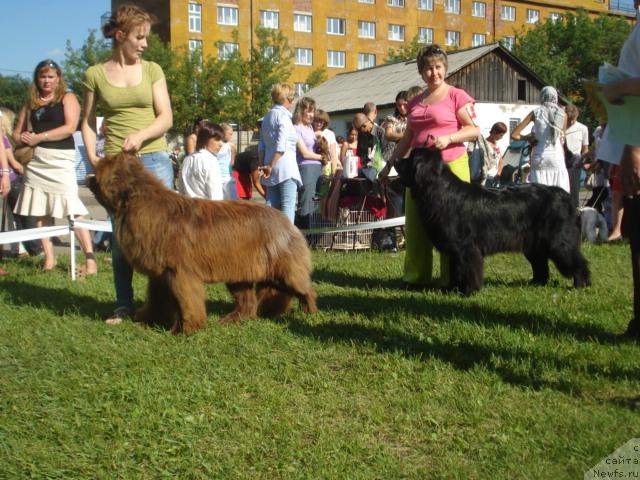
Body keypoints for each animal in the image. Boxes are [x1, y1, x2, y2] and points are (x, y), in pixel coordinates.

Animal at [90, 154, 318, 334]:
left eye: (100, 168)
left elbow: (186, 301)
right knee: (249, 302)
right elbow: (157, 300)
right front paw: (149, 322)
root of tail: (286, 220)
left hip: (284, 267)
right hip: (239, 273)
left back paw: (309, 311)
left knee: (305, 289)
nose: (89, 175)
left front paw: (184, 330)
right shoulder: (160, 275)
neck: (135, 201)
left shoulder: (180, 272)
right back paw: (231, 319)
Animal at [398, 148, 592, 294]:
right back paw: (536, 283)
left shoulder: (466, 248)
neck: (439, 190)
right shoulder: (455, 250)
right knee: (540, 264)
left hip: (558, 242)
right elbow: (455, 269)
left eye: (410, 159)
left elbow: (467, 269)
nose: (397, 160)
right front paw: (452, 289)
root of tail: (567, 197)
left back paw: (581, 285)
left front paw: (468, 291)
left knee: (577, 262)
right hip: (533, 245)